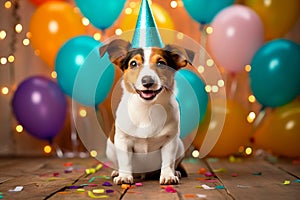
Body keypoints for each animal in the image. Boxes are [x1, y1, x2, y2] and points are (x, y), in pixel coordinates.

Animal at [99, 39, 193, 184]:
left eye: (161, 63)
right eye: (133, 63)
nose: (147, 81)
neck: (147, 108)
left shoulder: (170, 140)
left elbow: (168, 161)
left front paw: (168, 175)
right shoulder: (123, 140)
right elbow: (125, 160)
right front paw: (124, 176)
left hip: (180, 145)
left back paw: (175, 171)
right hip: (110, 146)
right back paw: (117, 172)